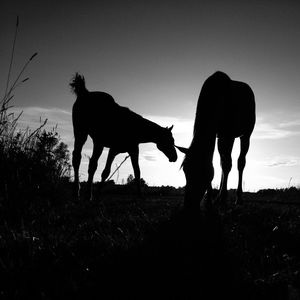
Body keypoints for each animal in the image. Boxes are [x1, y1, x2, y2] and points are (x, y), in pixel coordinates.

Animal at [178, 71, 255, 210]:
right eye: (186, 170)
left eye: (202, 172)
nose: (189, 206)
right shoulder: (218, 135)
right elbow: (219, 164)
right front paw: (210, 201)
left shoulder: (229, 135)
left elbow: (228, 164)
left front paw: (222, 199)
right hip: (222, 139)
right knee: (223, 163)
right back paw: (218, 196)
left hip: (245, 135)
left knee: (239, 163)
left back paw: (238, 199)